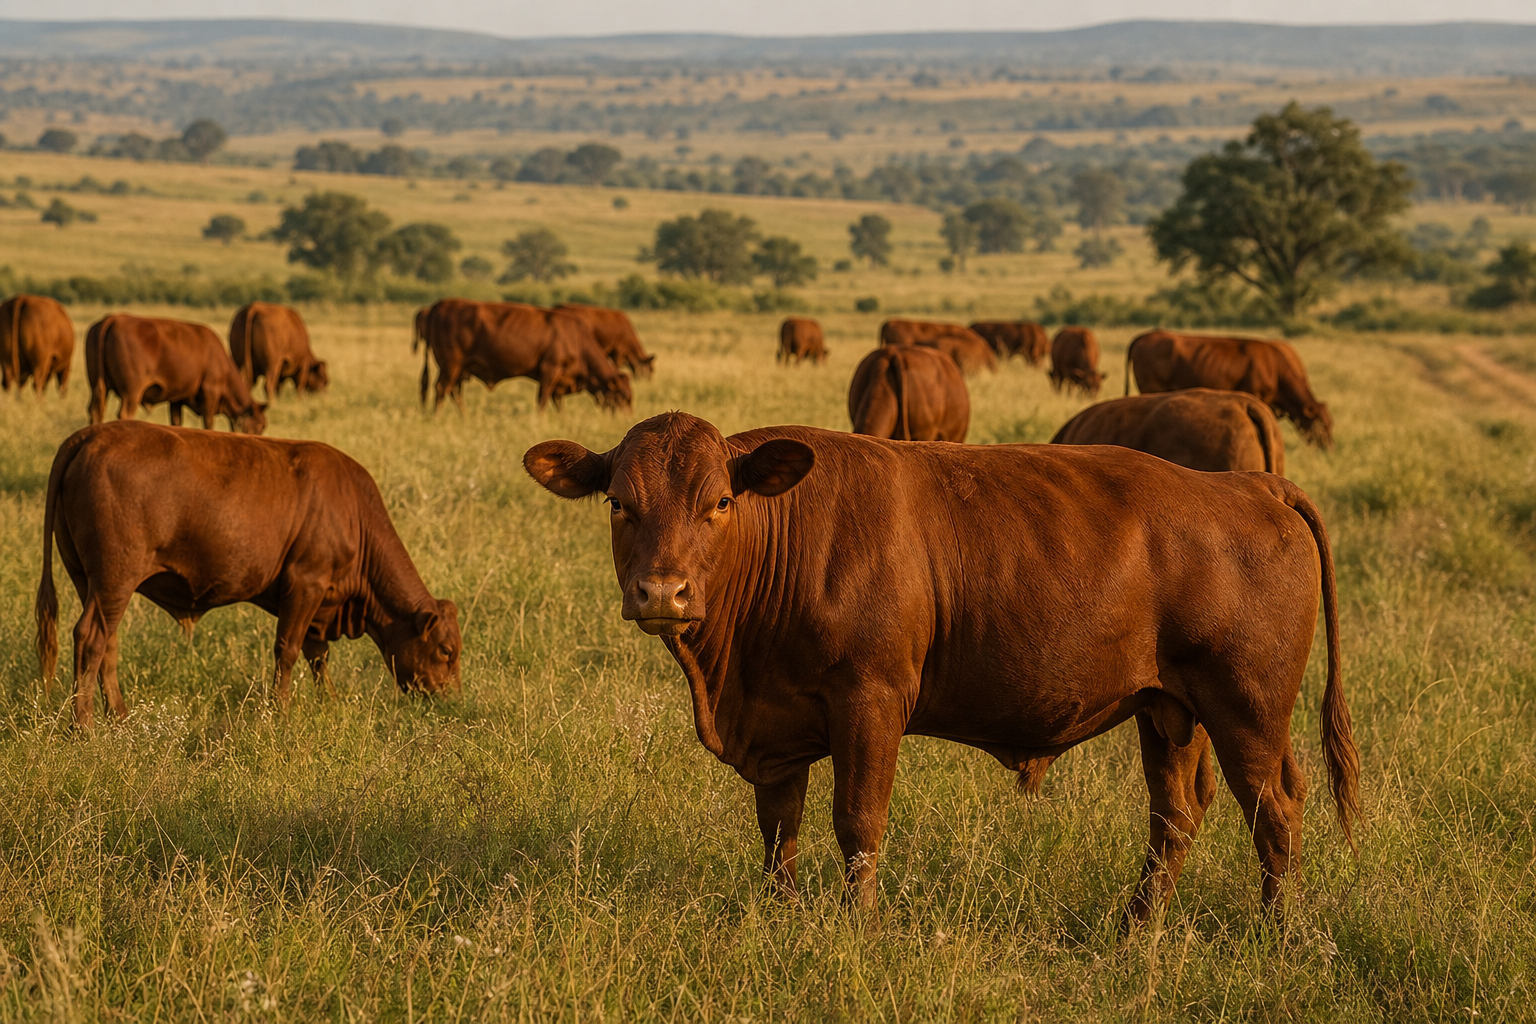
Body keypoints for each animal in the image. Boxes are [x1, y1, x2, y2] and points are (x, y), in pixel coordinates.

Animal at [36, 421, 462, 727]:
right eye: (447, 651)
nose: (452, 698)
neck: (353, 512)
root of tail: (91, 435)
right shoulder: (306, 584)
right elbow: (288, 650)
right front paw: (281, 712)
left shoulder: (318, 601)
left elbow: (318, 655)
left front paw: (329, 701)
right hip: (115, 578)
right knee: (91, 638)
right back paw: (84, 726)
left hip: (90, 581)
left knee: (107, 643)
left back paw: (119, 717)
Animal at [86, 314, 267, 434]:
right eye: (259, 426)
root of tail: (113, 318)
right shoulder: (211, 392)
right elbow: (208, 422)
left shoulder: (176, 399)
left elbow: (176, 422)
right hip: (131, 393)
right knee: (125, 413)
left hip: (98, 386)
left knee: (95, 411)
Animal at [419, 299, 632, 414]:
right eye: (623, 397)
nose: (626, 418)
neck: (576, 339)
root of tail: (439, 306)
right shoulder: (549, 371)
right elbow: (543, 401)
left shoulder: (559, 381)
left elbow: (558, 403)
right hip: (451, 365)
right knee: (441, 388)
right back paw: (437, 416)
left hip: (460, 369)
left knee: (454, 392)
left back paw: (465, 416)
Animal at [523, 412, 1358, 923]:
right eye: (618, 503)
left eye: (720, 501)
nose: (662, 591)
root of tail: (1250, 486)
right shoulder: (777, 729)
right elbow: (778, 830)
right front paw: (781, 917)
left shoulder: (870, 701)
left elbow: (858, 822)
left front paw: (858, 929)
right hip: (1169, 712)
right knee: (1175, 815)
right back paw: (1135, 933)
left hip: (1248, 710)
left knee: (1275, 808)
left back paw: (1277, 933)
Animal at [1126, 330, 1334, 449]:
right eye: (1321, 425)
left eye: (1331, 424)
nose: (1328, 447)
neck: (1274, 370)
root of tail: (1146, 336)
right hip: (1150, 388)